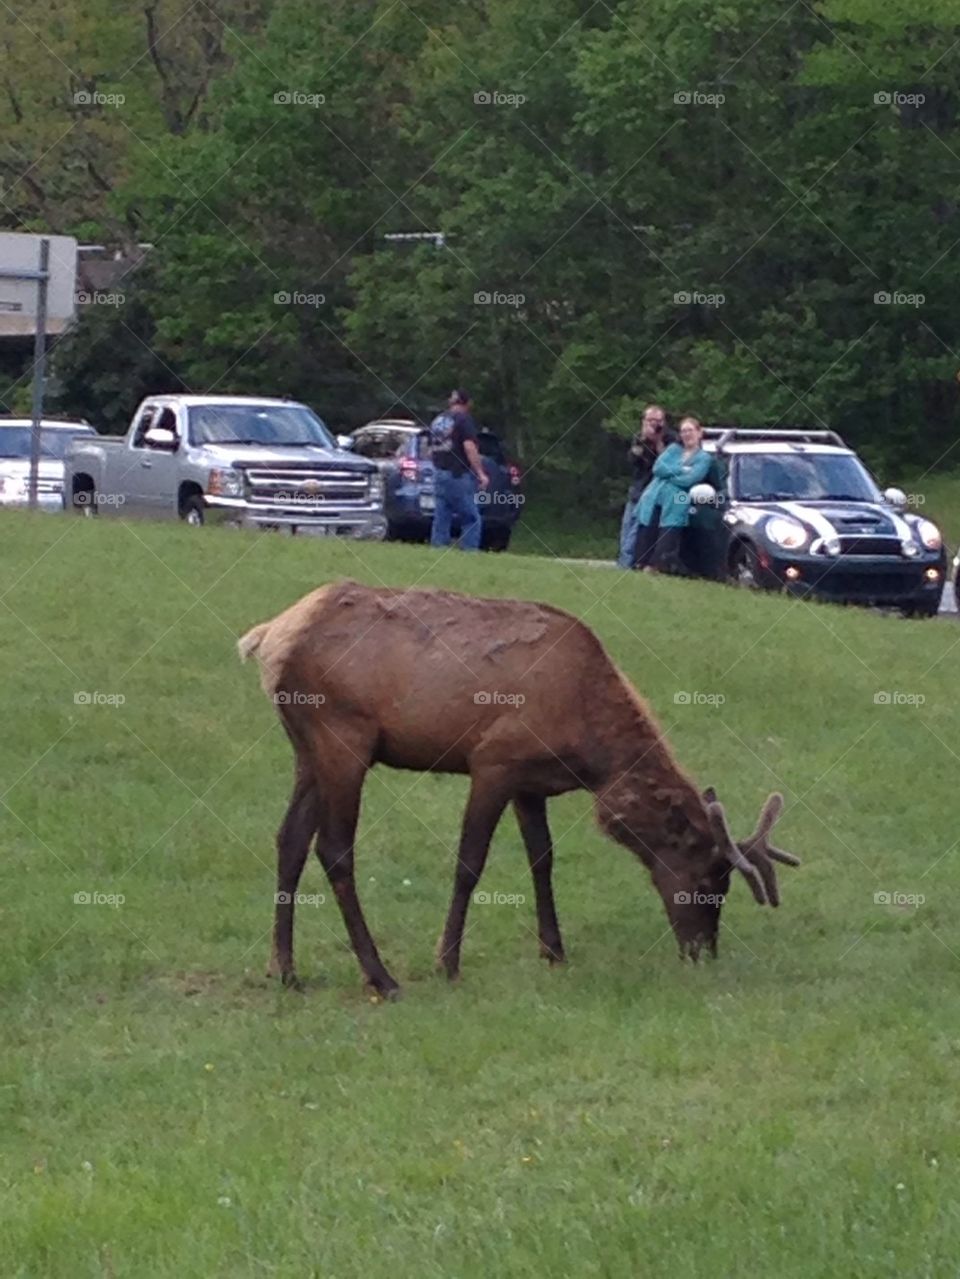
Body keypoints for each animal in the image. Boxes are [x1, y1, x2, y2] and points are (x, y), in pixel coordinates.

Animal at [238, 580, 800, 997]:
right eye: (708, 881)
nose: (703, 951)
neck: (593, 754)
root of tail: (269, 638)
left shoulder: (532, 784)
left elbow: (542, 859)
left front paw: (553, 950)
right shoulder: (494, 762)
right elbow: (469, 864)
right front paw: (448, 962)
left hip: (307, 749)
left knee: (290, 840)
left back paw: (284, 969)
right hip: (344, 737)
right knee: (334, 849)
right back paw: (381, 977)